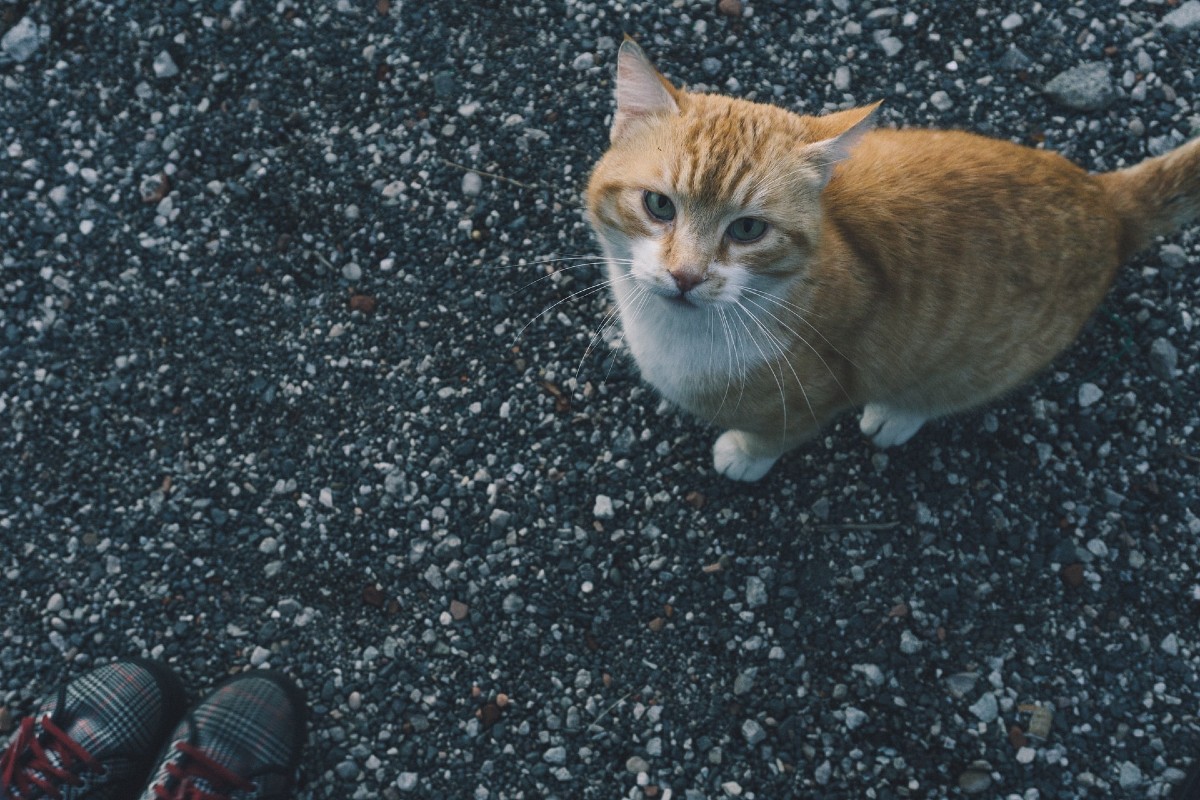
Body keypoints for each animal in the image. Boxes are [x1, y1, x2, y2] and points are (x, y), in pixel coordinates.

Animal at [585, 38, 1195, 482]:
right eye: (659, 205)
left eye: (749, 229)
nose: (685, 276)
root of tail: (1105, 199)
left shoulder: (813, 399)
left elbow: (776, 435)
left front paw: (745, 456)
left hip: (980, 362)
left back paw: (895, 415)